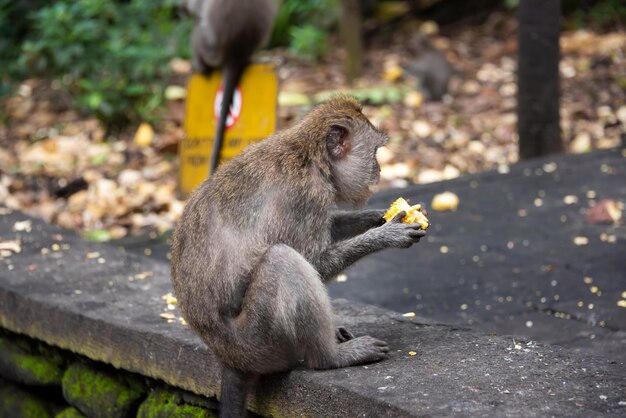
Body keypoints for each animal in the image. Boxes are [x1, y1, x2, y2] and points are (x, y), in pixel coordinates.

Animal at [171, 96, 424, 416]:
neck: (310, 158)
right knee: (282, 260)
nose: (378, 170)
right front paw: (385, 235)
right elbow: (313, 260)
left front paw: (377, 218)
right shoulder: (305, 196)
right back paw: (331, 357)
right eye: (375, 152)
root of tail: (228, 358)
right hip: (260, 343)